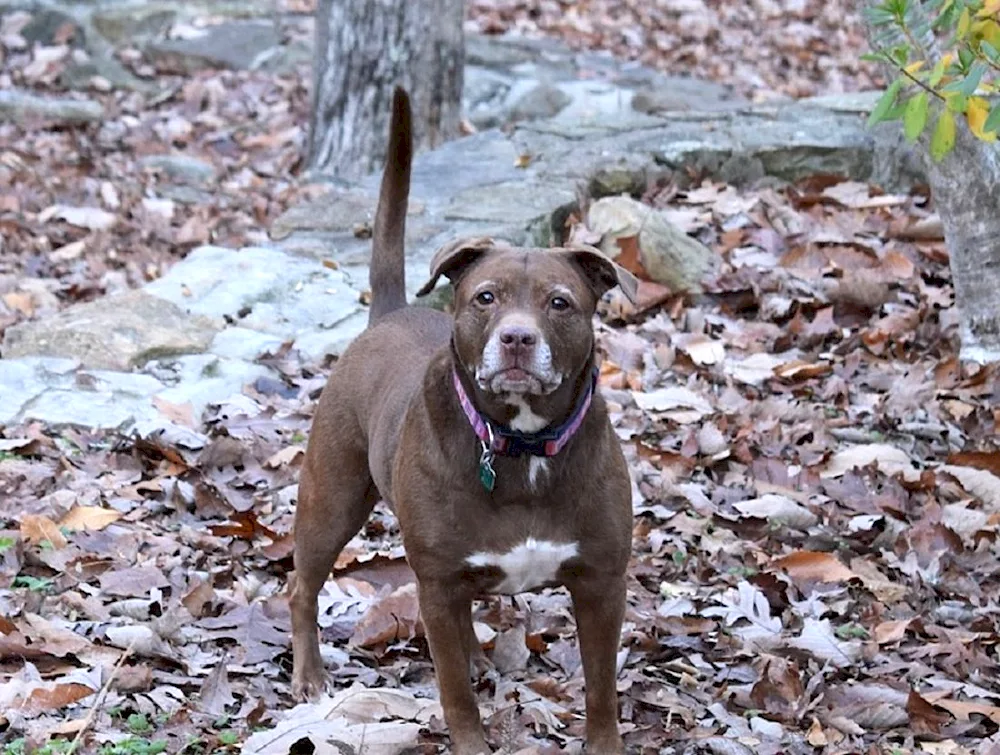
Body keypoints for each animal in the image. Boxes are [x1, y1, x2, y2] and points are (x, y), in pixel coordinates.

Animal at [290, 88, 636, 755]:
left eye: (560, 302)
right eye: (486, 297)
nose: (517, 339)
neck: (522, 445)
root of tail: (389, 314)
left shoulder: (602, 582)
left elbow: (602, 691)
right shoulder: (437, 582)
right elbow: (453, 695)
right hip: (332, 500)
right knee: (302, 588)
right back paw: (310, 678)